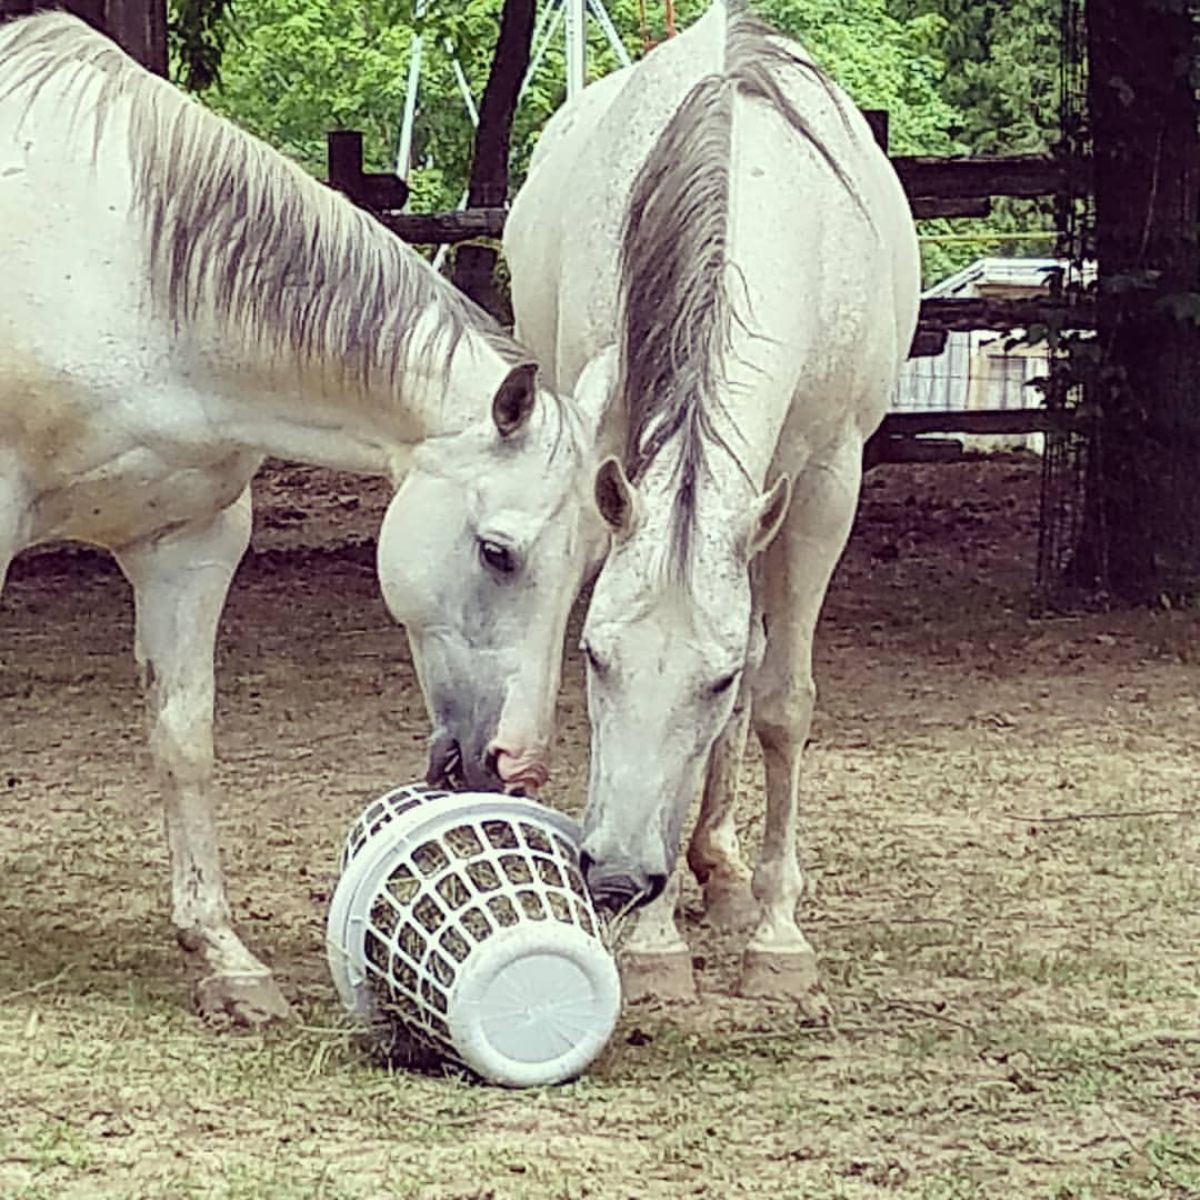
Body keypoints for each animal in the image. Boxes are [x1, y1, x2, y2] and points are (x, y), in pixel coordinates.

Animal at [0, 11, 600, 1022]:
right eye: (497, 553)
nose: (515, 768)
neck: (116, 263)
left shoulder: (188, 546)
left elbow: (185, 738)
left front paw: (226, 959)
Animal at [501, 0, 912, 1003]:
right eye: (595, 658)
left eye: (713, 677)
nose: (616, 877)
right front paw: (652, 944)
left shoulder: (824, 490)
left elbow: (779, 702)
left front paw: (775, 935)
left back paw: (721, 870)